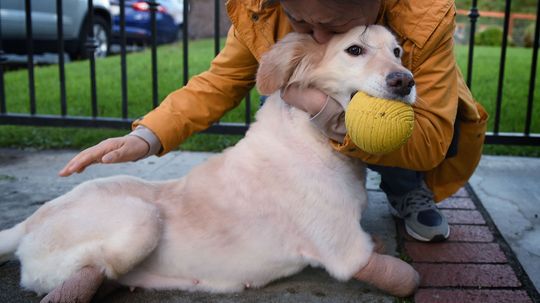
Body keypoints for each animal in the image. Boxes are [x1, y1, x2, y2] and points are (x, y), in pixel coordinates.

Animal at [0, 26, 418, 303]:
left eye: (398, 50)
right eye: (354, 50)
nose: (406, 81)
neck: (314, 140)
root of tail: (27, 223)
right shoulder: (343, 248)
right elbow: (405, 276)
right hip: (140, 220)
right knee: (83, 270)